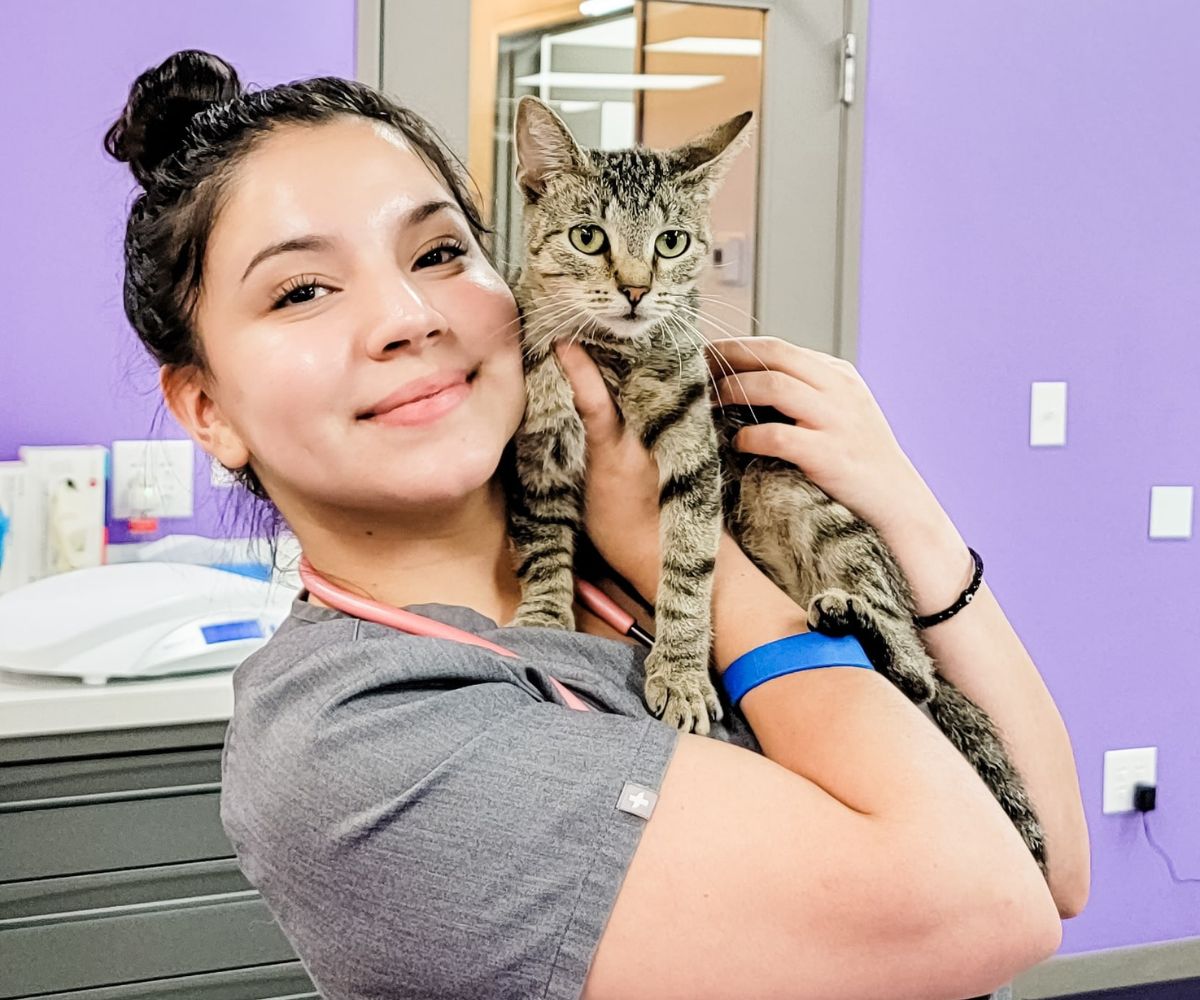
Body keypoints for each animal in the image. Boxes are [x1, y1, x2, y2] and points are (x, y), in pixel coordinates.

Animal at [501, 93, 1046, 873]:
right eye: (587, 236)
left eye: (671, 243)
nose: (636, 290)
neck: (612, 358)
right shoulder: (536, 452)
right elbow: (543, 541)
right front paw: (547, 617)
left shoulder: (695, 450)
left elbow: (689, 568)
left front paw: (682, 670)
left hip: (800, 497)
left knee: (917, 672)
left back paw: (855, 620)